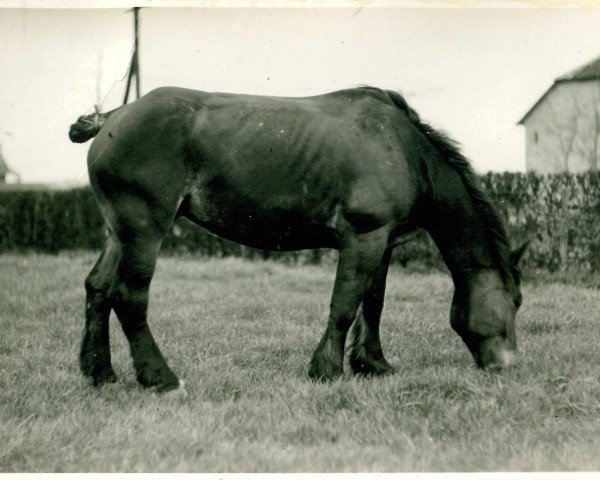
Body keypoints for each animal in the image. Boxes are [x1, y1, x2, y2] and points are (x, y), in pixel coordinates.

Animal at [69, 87, 524, 394]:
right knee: (129, 296)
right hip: (144, 230)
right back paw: (160, 379)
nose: (508, 366)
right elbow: (345, 305)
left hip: (119, 233)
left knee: (98, 289)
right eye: (516, 302)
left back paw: (101, 373)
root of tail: (113, 116)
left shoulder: (382, 243)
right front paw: (327, 369)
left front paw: (373, 364)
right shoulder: (363, 238)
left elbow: (372, 305)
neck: (403, 149)